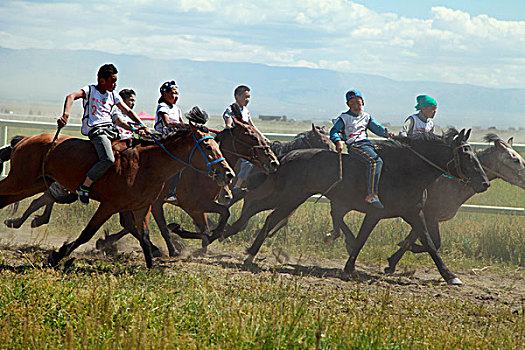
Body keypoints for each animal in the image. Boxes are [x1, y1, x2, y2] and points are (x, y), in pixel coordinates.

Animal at [0, 123, 233, 268]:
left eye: (217, 145)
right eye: (207, 146)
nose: (228, 173)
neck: (146, 165)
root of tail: (24, 139)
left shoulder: (142, 207)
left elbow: (145, 237)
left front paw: (152, 266)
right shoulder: (109, 205)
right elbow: (86, 233)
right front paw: (57, 256)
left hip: (33, 183)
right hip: (20, 180)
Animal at [220, 129, 488, 284]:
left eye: (475, 154)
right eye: (466, 154)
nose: (484, 182)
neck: (404, 172)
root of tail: (290, 154)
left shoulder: (409, 213)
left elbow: (366, 240)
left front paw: (351, 267)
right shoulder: (389, 213)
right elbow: (428, 244)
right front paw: (450, 276)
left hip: (289, 197)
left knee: (262, 214)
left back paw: (235, 242)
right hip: (290, 197)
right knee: (263, 214)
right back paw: (238, 246)